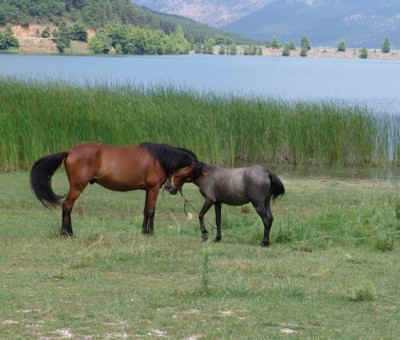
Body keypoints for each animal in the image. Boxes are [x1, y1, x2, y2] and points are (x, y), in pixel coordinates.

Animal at [30, 143, 200, 236]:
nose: (171, 189)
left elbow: (146, 210)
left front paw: (144, 232)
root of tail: (69, 151)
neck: (157, 159)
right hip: (77, 186)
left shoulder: (147, 190)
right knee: (67, 206)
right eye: (189, 173)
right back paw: (67, 233)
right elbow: (151, 211)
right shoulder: (153, 189)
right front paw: (151, 233)